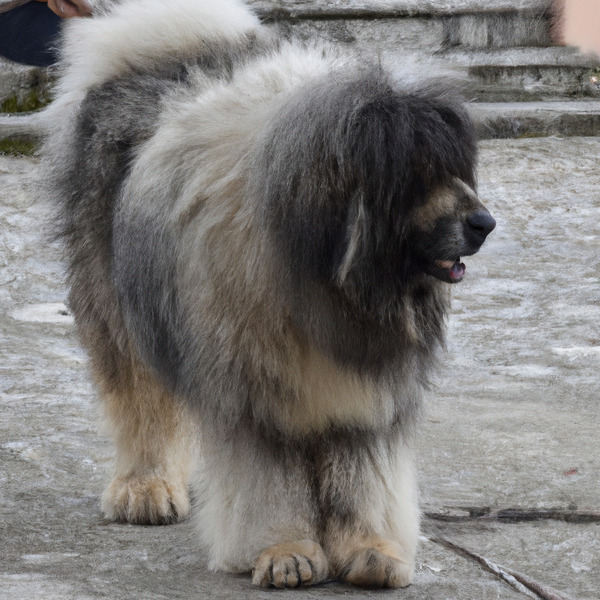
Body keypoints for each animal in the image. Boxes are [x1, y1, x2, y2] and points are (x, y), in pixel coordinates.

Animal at [43, 0, 496, 592]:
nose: (485, 223)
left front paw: (370, 549)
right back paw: (146, 487)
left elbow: (363, 471)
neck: (320, 271)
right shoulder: (253, 387)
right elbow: (268, 478)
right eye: (418, 176)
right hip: (125, 305)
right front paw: (285, 550)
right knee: (142, 398)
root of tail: (154, 53)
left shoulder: (363, 389)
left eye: (457, 171)